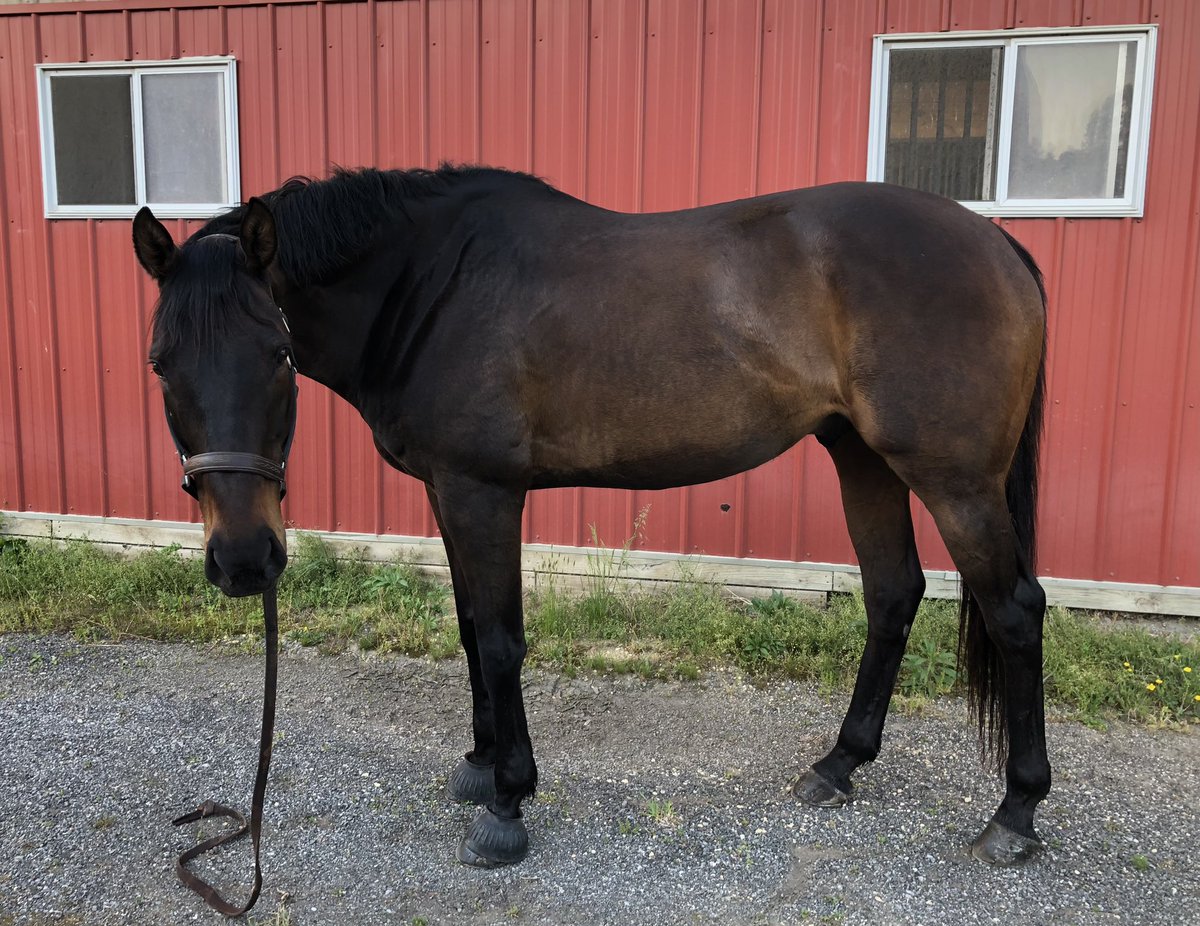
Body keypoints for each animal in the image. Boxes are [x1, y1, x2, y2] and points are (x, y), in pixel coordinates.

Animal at [132, 165, 1049, 888]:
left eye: (278, 356)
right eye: (161, 365)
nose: (244, 561)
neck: (433, 282)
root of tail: (998, 245)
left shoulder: (484, 491)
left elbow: (501, 640)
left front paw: (507, 804)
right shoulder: (447, 490)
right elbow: (469, 627)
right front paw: (479, 766)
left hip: (956, 481)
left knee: (1015, 612)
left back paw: (1015, 813)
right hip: (861, 456)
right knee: (893, 595)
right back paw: (838, 765)